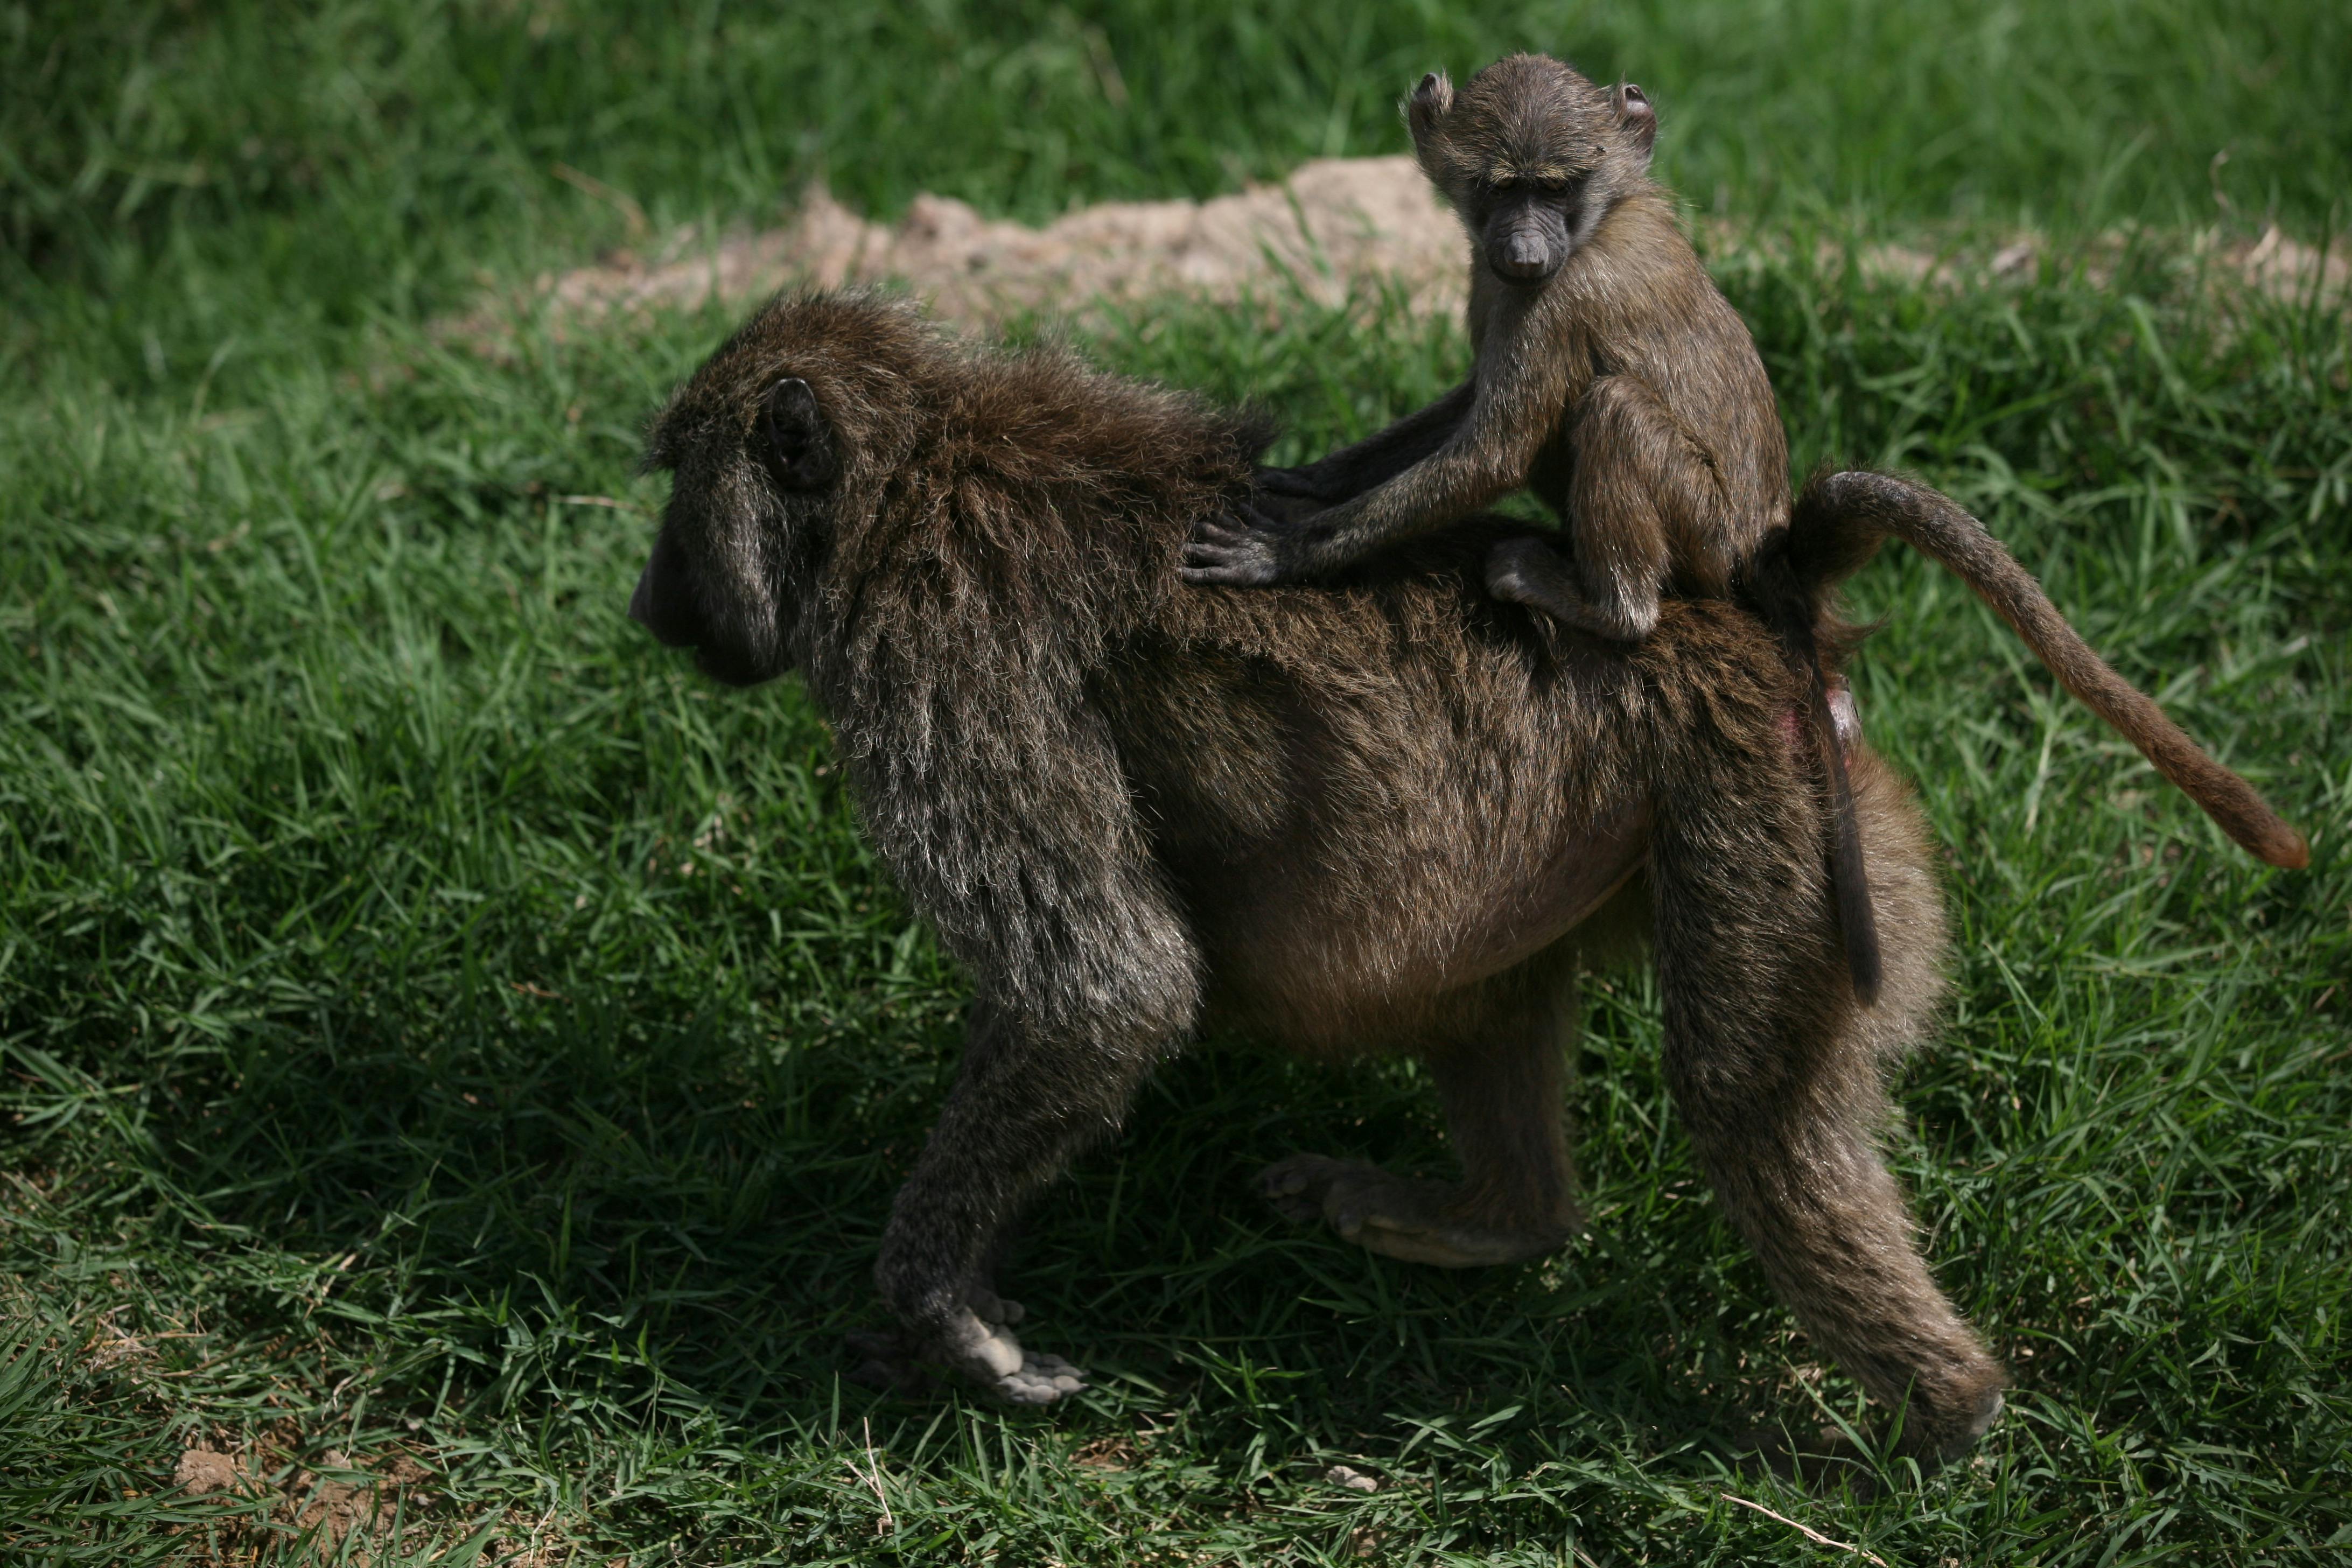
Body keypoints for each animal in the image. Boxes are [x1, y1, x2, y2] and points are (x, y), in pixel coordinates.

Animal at [628, 288, 2298, 1471]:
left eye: (675, 492)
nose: (645, 605)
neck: (913, 476)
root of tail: (1749, 617)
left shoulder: (944, 666)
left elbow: (1103, 988)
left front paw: (943, 1314)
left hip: (1764, 818)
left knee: (1755, 1120)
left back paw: (1949, 1423)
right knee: (1497, 1002)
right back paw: (1498, 1219)